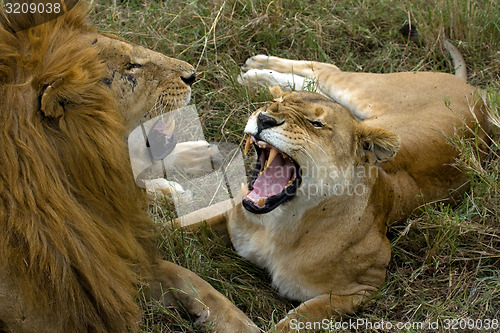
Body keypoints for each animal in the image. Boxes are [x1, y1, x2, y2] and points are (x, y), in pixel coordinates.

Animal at [206, 48, 488, 328]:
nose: (264, 118)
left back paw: (253, 72)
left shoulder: (365, 287)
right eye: (274, 105)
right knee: (323, 73)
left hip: (366, 93)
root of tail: (474, 92)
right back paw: (256, 71)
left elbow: (299, 320)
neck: (278, 224)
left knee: (327, 72)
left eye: (316, 124)